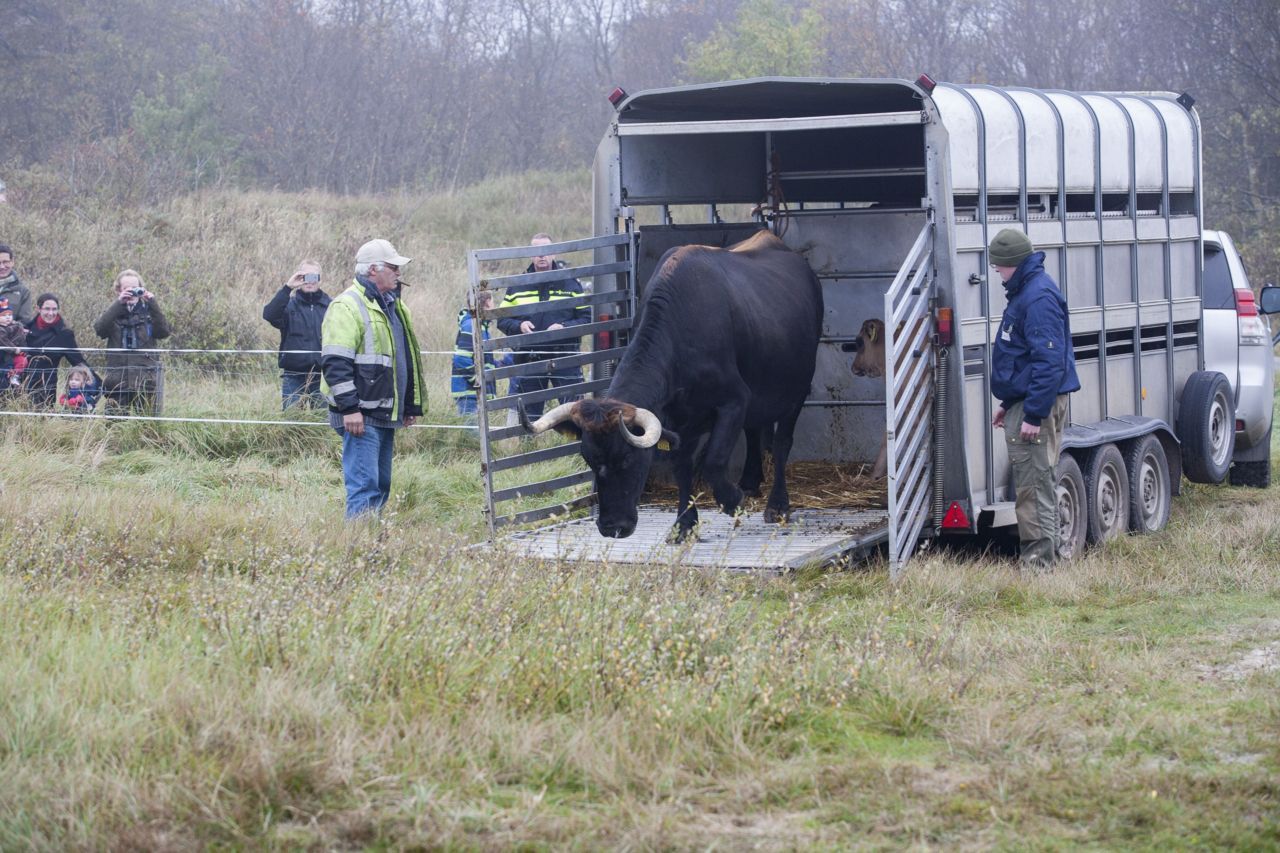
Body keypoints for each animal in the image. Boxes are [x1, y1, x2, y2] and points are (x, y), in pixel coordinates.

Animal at [517, 230, 824, 537]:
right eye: (589, 460)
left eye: (626, 458)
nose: (611, 527)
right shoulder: (680, 420)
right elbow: (682, 466)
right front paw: (684, 524)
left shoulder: (735, 401)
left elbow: (713, 461)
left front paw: (732, 500)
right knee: (754, 430)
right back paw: (750, 481)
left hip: (797, 391)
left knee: (782, 443)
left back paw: (777, 505)